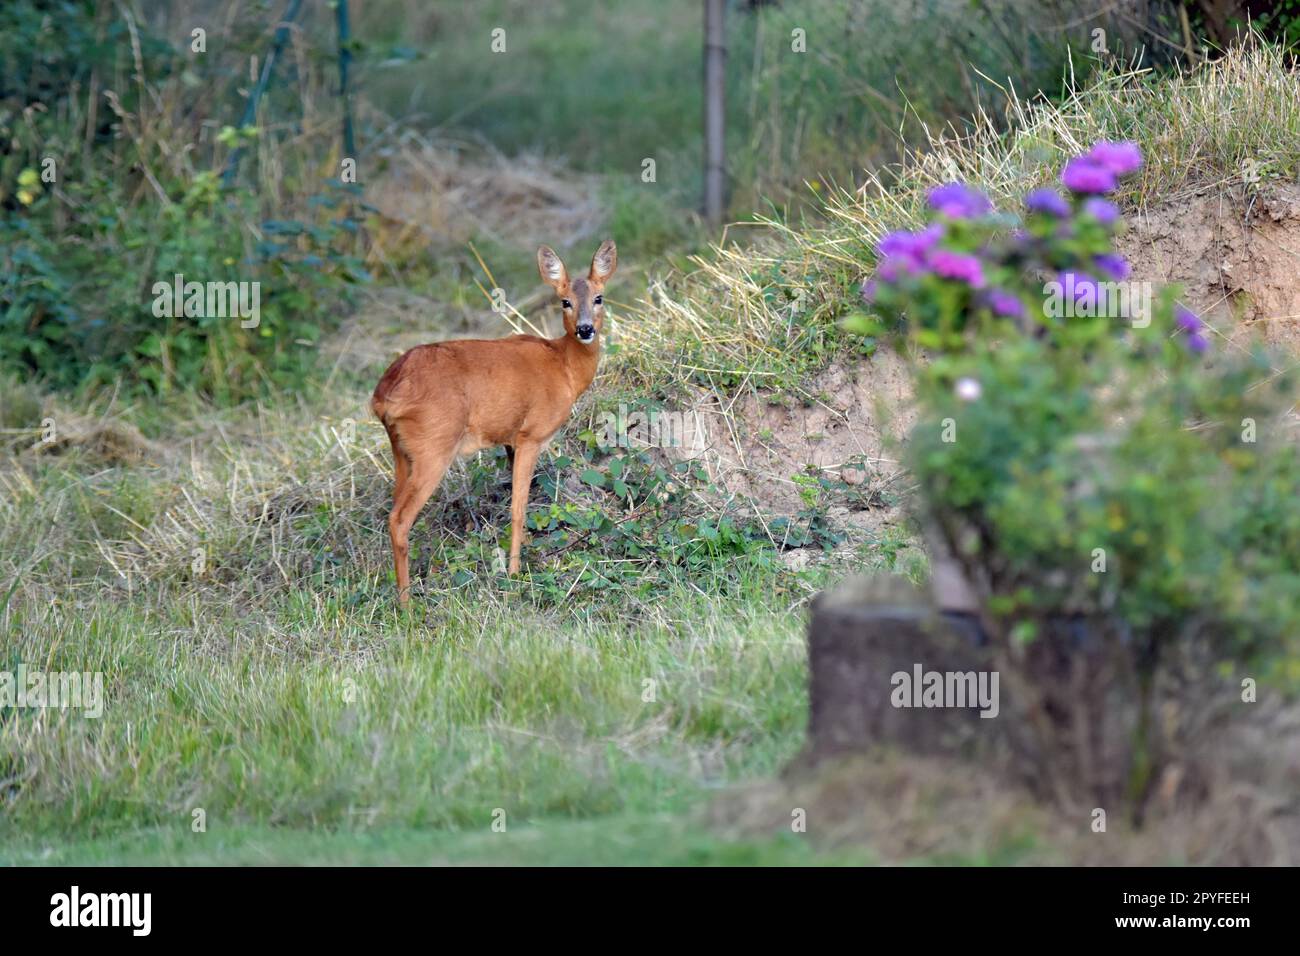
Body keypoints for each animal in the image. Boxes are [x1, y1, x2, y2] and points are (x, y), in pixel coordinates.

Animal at [371, 239, 617, 604]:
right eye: (565, 301)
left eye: (599, 297)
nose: (585, 329)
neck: (564, 367)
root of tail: (383, 395)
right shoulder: (531, 434)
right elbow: (518, 508)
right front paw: (515, 573)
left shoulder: (509, 440)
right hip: (434, 445)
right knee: (399, 520)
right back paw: (407, 603)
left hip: (401, 451)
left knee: (392, 513)